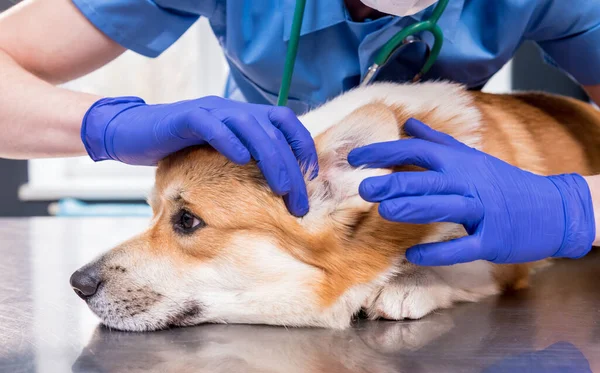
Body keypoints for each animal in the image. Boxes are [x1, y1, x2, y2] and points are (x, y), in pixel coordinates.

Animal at [69, 82, 600, 332]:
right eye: (153, 212)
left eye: (187, 221)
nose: (77, 283)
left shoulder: (503, 254)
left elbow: (458, 263)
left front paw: (409, 283)